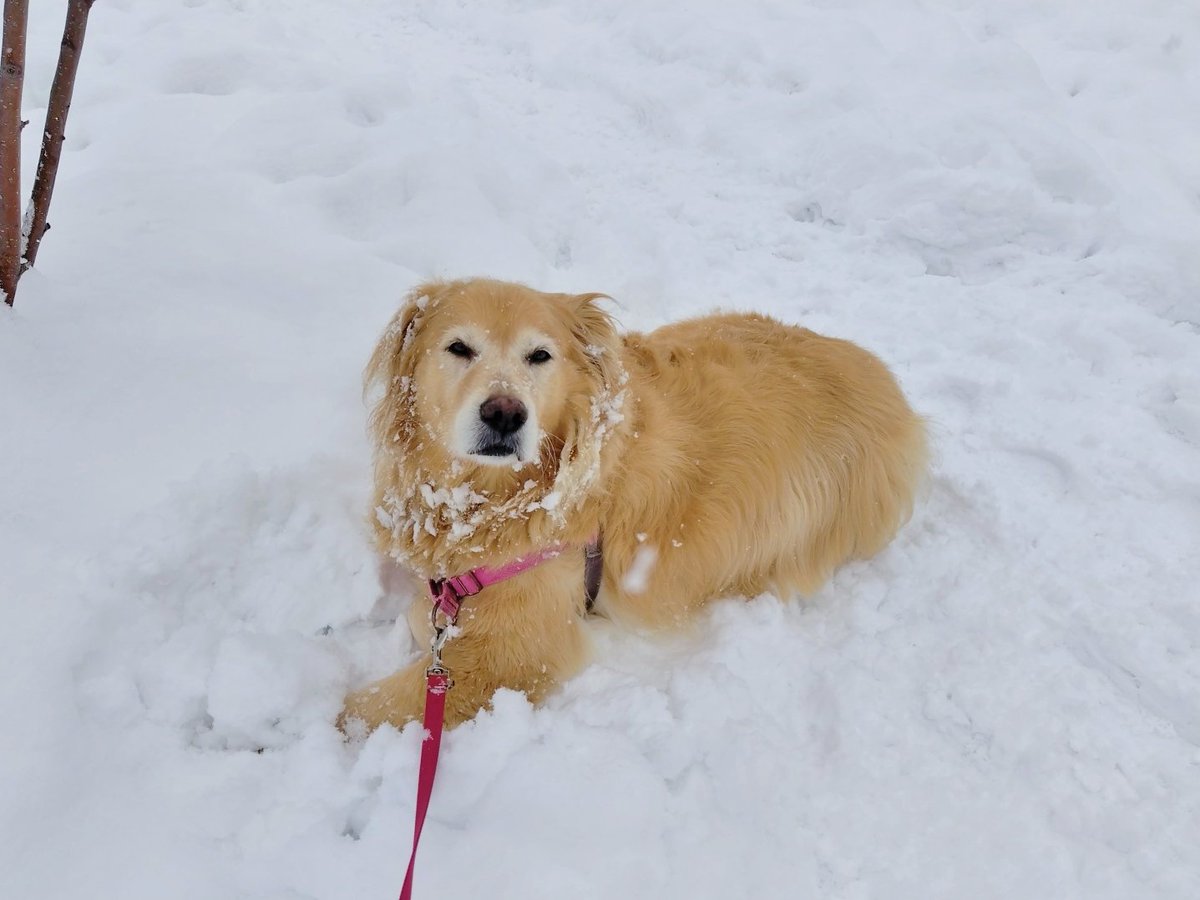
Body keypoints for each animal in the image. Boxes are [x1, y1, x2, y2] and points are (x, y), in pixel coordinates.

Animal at [340, 280, 926, 734]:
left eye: (540, 356)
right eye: (459, 348)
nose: (505, 413)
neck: (494, 496)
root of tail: (887, 381)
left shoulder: (513, 652)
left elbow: (357, 710)